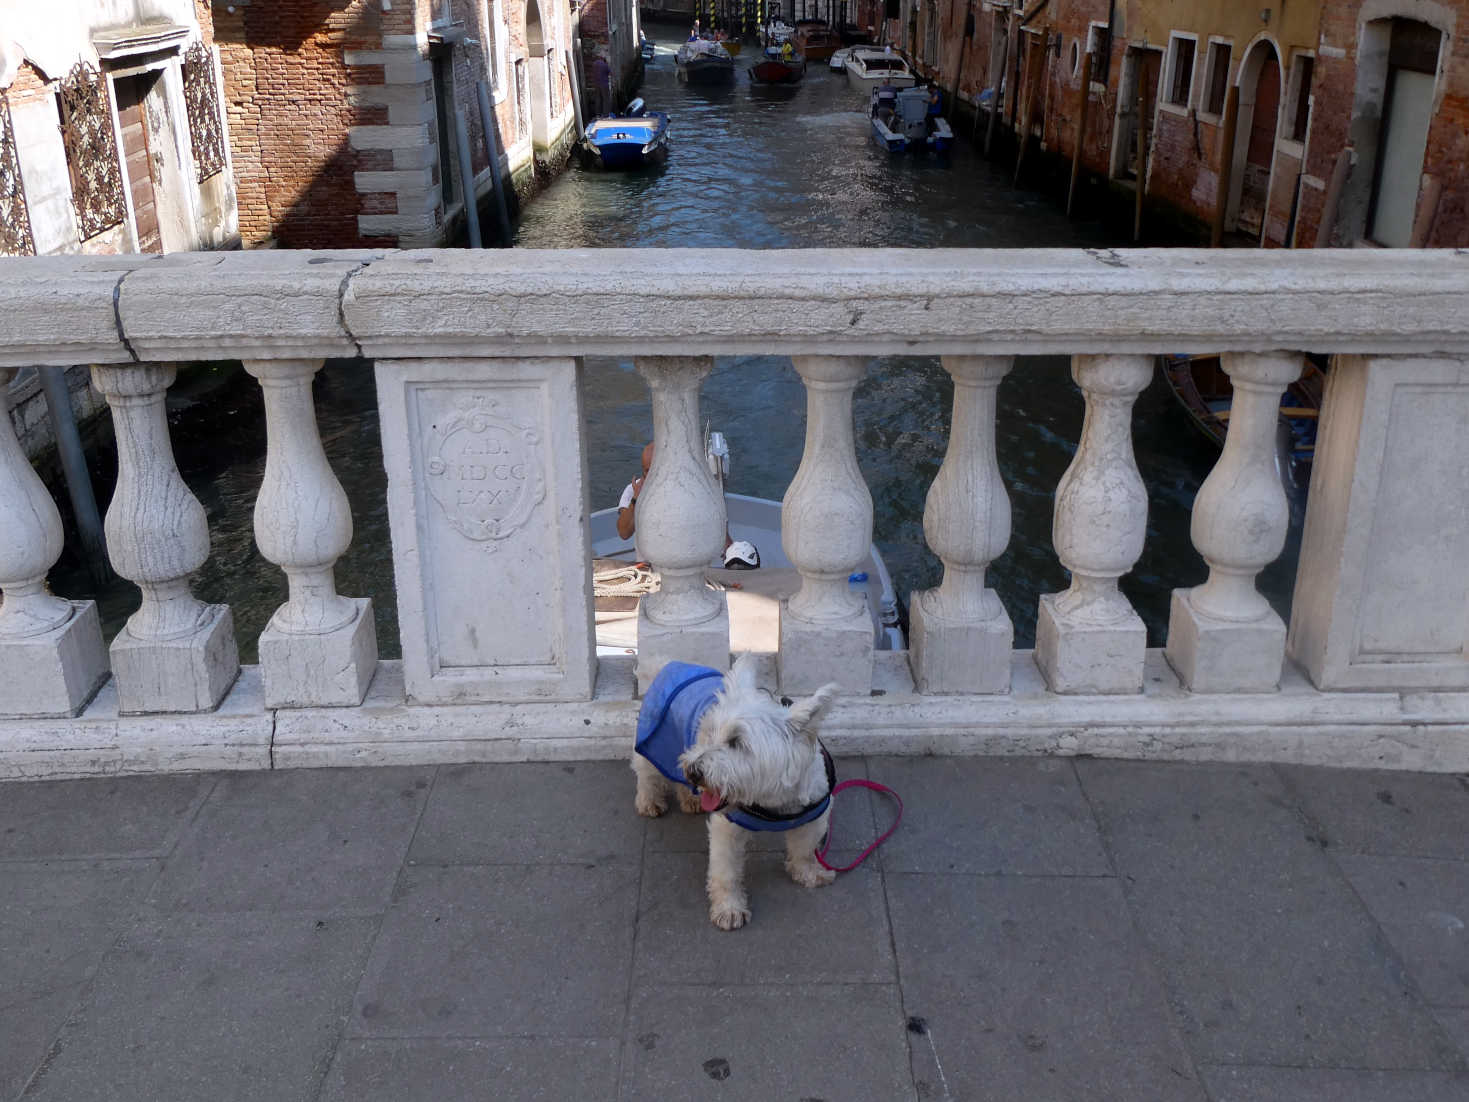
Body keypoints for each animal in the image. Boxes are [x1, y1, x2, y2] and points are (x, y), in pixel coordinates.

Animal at [631, 655, 840, 934]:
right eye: (709, 732)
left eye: (736, 742)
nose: (694, 771)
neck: (772, 802)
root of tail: (666, 665)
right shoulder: (726, 829)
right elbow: (726, 870)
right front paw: (729, 909)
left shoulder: (814, 814)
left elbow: (804, 849)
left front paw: (809, 873)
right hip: (656, 744)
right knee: (647, 772)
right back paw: (649, 802)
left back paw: (691, 798)